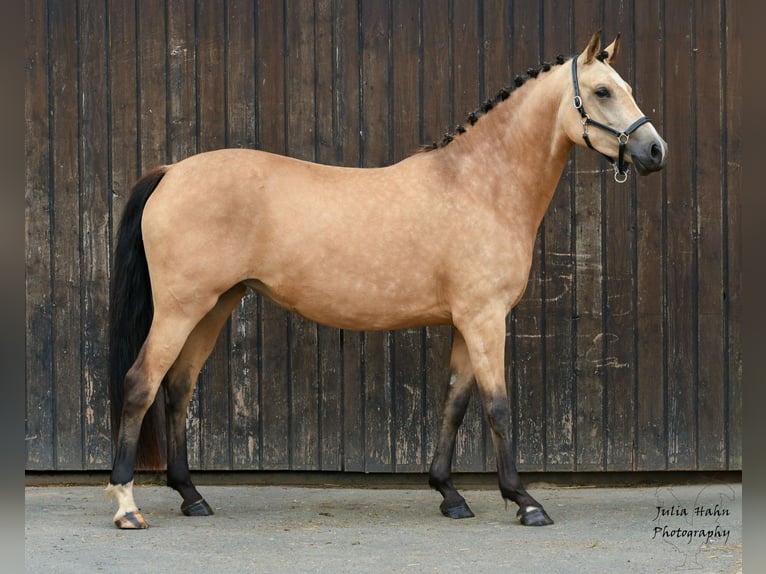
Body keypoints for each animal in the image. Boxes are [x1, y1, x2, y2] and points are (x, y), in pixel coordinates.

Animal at [106, 31, 667, 529]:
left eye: (626, 87)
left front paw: (449, 495)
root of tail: (171, 171)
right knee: (140, 384)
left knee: (177, 387)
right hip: (181, 308)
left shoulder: (465, 323)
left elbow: (454, 404)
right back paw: (127, 506)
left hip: (216, 304)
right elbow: (498, 407)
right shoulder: (486, 320)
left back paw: (192, 496)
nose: (655, 151)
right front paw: (525, 502)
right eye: (602, 91)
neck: (480, 185)